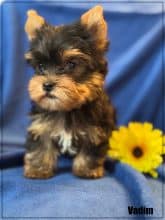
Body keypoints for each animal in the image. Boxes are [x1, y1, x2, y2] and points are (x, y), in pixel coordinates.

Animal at [23, 5, 115, 179]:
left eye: (71, 64)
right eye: (41, 67)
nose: (47, 85)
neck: (67, 109)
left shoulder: (96, 129)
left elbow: (90, 148)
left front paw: (87, 169)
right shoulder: (41, 125)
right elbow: (41, 145)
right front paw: (38, 168)